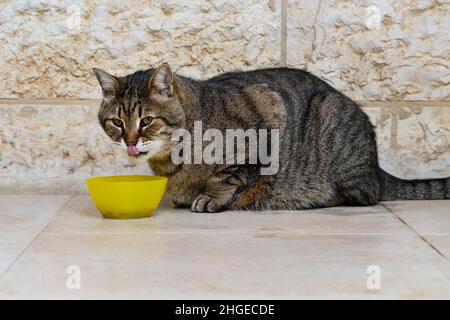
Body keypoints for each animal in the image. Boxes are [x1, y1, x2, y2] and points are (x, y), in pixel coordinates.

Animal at [93, 62, 448, 212]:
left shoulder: (263, 125)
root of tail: (377, 166)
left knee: (365, 196)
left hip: (331, 116)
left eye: (146, 121)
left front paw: (212, 196)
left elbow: (228, 176)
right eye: (116, 123)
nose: (130, 142)